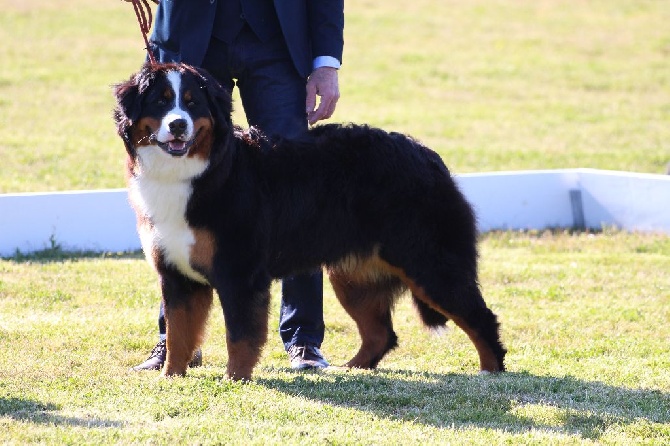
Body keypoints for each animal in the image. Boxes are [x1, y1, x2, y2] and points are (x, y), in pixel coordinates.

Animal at [113, 64, 506, 382]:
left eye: (193, 103)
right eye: (161, 102)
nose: (179, 124)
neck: (199, 172)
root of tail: (429, 156)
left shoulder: (239, 274)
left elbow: (239, 335)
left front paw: (235, 381)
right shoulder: (177, 274)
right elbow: (179, 333)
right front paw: (170, 377)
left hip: (430, 266)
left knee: (481, 318)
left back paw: (491, 372)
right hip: (353, 276)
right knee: (381, 333)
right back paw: (352, 370)